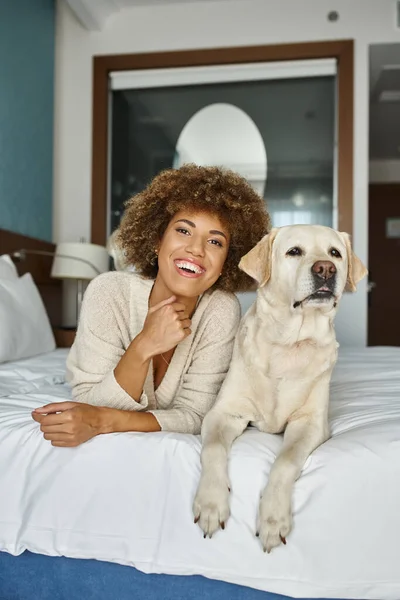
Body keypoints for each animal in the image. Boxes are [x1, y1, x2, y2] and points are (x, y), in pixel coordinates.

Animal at [192, 224, 368, 552]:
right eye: (294, 251)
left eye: (335, 253)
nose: (326, 269)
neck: (290, 343)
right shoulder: (224, 414)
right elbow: (212, 448)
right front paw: (211, 503)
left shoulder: (310, 424)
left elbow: (285, 461)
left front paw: (273, 519)